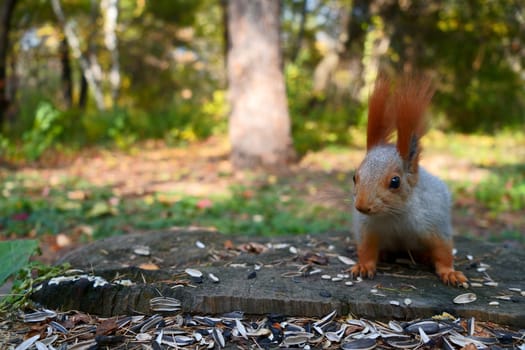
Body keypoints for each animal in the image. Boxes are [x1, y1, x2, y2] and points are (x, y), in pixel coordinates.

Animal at [348, 74, 466, 284]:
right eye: (355, 177)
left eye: (395, 181)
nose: (361, 206)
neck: (395, 214)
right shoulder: (368, 227)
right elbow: (367, 248)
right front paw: (363, 266)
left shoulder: (434, 221)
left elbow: (444, 250)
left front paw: (450, 273)